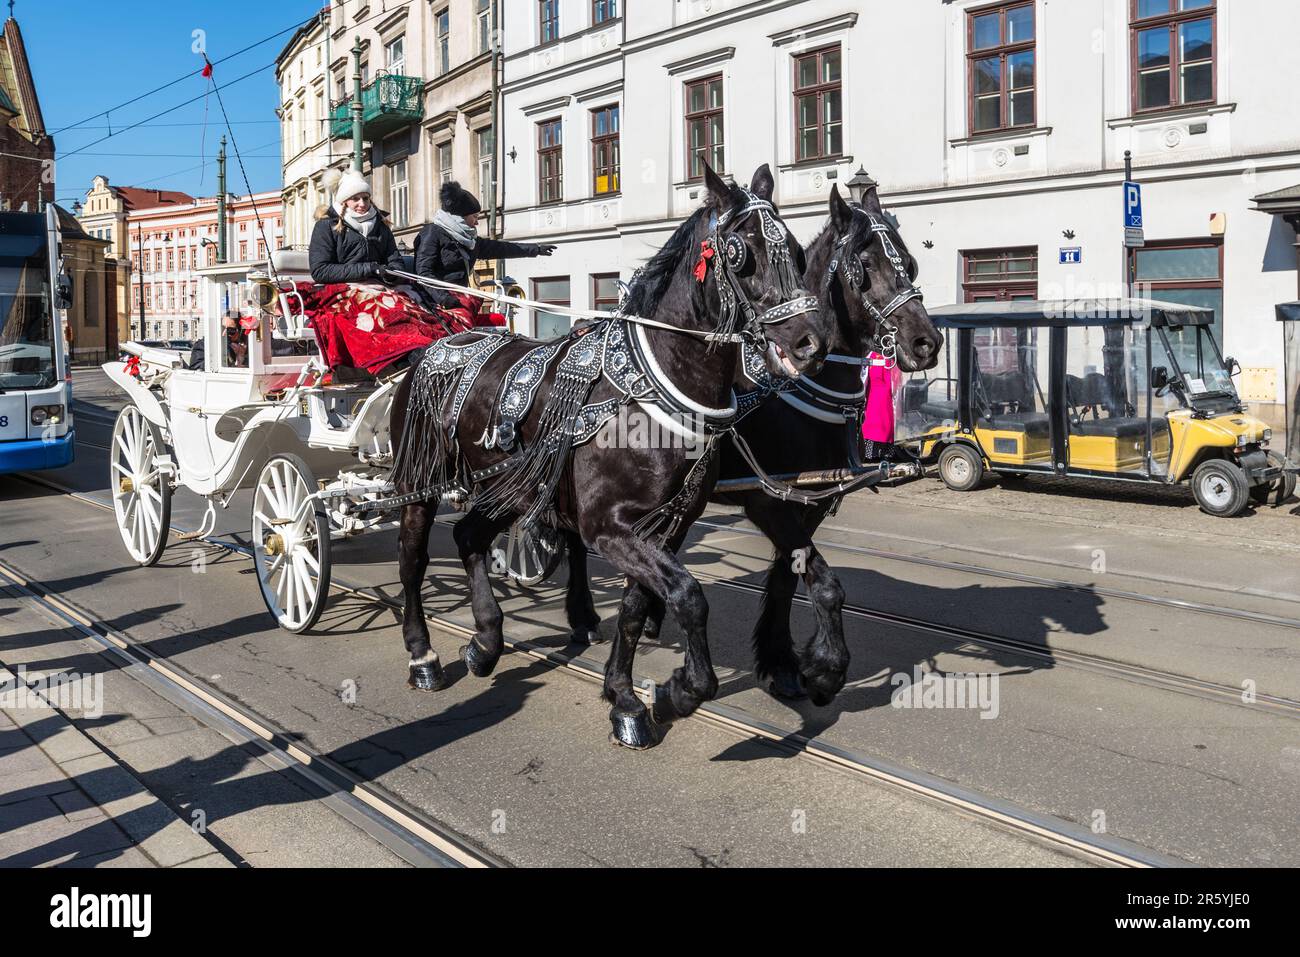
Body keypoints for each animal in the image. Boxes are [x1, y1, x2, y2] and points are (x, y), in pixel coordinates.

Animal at [390, 162, 826, 748]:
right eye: (740, 253)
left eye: (798, 252)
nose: (811, 343)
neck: (652, 387)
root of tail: (434, 347)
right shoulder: (607, 528)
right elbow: (689, 596)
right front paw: (681, 691)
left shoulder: (665, 527)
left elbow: (639, 608)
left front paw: (626, 698)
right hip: (421, 483)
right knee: (413, 560)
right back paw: (424, 655)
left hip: (509, 488)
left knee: (468, 537)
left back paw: (486, 641)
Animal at [564, 180, 941, 712]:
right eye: (863, 267)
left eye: (908, 262)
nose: (927, 343)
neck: (794, 390)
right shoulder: (767, 501)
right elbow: (822, 583)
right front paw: (823, 670)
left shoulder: (807, 503)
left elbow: (789, 577)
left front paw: (784, 664)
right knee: (572, 541)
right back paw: (582, 616)